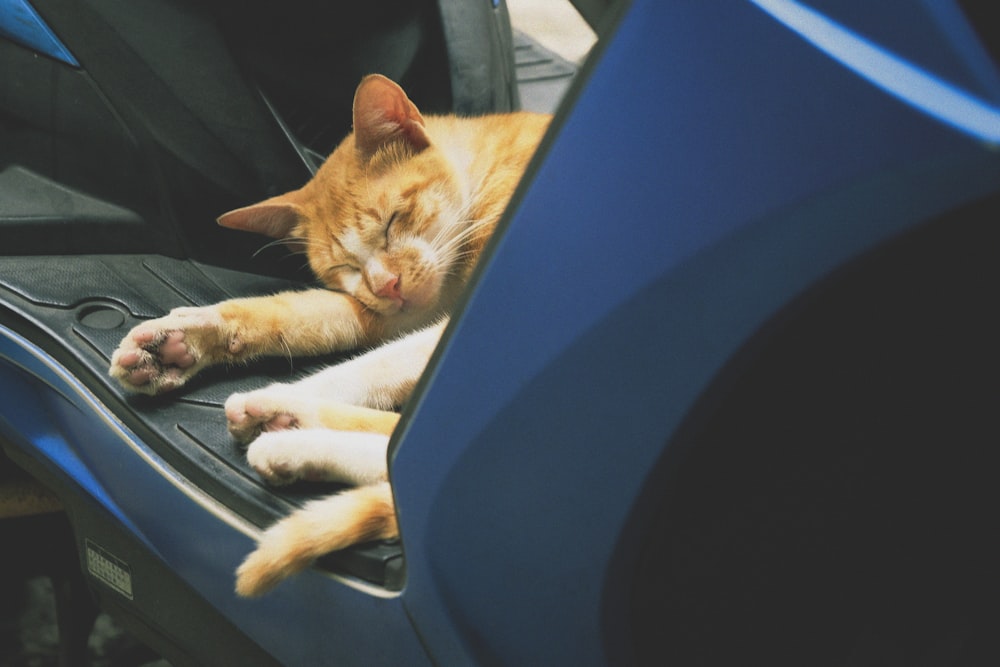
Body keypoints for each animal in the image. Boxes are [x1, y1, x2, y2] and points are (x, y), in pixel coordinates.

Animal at [109, 75, 552, 596]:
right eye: (345, 268)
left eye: (392, 221)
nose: (387, 285)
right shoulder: (389, 313)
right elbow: (296, 316)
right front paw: (181, 343)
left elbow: (378, 365)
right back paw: (290, 433)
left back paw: (285, 419)